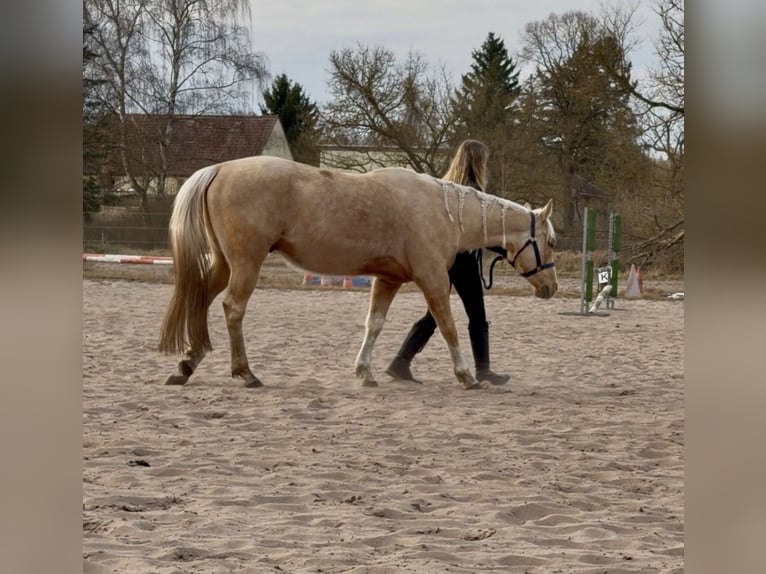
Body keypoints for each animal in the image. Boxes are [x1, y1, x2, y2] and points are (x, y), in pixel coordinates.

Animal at [158, 156, 558, 390]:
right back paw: (245, 372)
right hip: (246, 263)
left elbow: (374, 324)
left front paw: (365, 372)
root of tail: (221, 169)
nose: (551, 287)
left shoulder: (389, 280)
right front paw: (466, 376)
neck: (443, 211)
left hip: (225, 263)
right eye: (551, 242)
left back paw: (186, 365)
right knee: (233, 308)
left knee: (200, 298)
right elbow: (447, 325)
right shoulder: (433, 279)